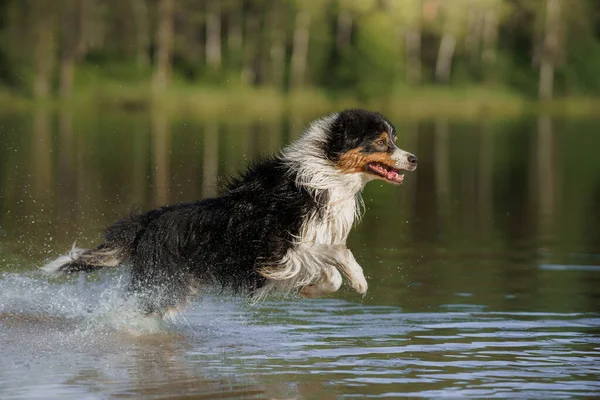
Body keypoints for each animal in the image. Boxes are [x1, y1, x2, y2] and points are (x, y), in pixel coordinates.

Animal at [42, 108, 418, 318]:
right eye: (381, 142)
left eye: (394, 139)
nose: (414, 159)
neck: (325, 174)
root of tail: (149, 221)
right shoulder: (276, 251)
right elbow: (336, 250)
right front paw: (359, 279)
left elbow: (330, 272)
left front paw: (312, 290)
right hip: (162, 287)